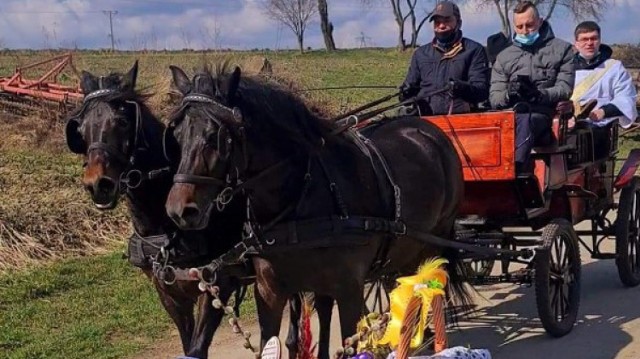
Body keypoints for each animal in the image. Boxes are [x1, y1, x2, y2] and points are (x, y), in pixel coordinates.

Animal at [63, 61, 248, 358]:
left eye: (123, 122)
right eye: (80, 130)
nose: (97, 184)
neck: (167, 230)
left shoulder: (217, 284)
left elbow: (196, 348)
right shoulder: (168, 292)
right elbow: (187, 342)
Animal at [162, 63, 476, 358]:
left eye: (215, 136)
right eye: (176, 135)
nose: (179, 211)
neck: (299, 199)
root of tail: (428, 129)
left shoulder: (349, 290)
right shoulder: (269, 292)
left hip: (434, 239)